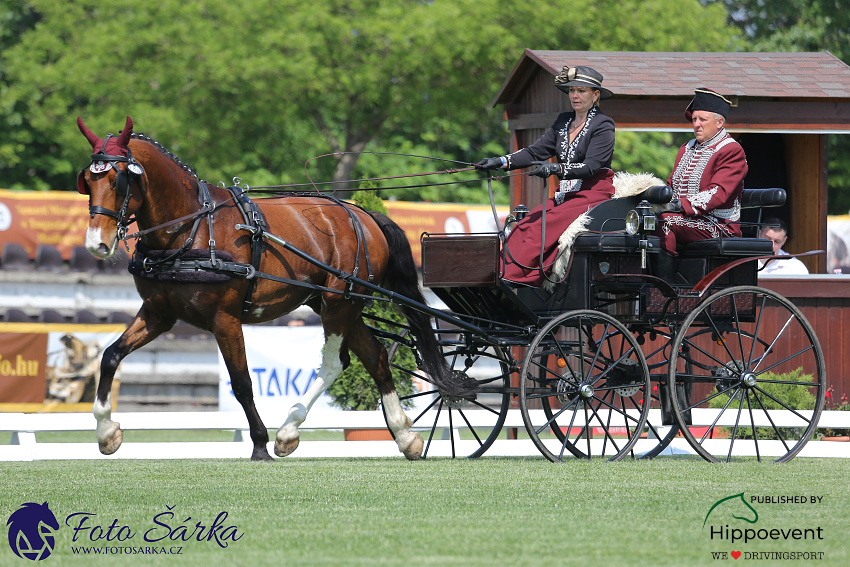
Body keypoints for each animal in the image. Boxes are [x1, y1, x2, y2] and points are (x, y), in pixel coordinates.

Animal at [75, 116, 474, 462]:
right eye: (88, 182)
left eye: (118, 181)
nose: (96, 244)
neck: (191, 228)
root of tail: (362, 214)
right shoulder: (159, 314)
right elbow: (110, 355)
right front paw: (106, 433)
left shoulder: (225, 319)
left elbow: (241, 382)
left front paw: (260, 444)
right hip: (336, 304)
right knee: (373, 357)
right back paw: (405, 436)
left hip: (338, 302)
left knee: (335, 362)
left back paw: (288, 432)